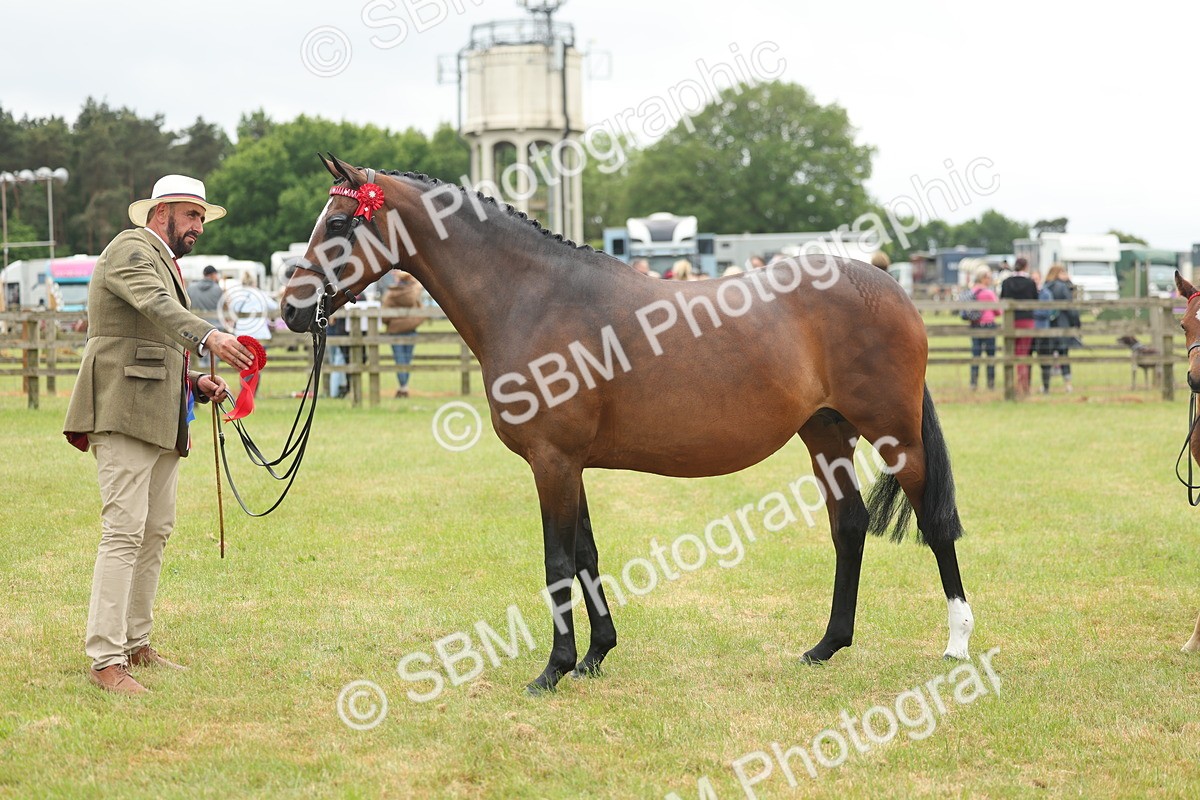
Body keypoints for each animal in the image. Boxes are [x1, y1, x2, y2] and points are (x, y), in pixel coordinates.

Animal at [280, 155, 975, 694]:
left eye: (338, 223)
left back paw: (957, 643)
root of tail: (891, 286)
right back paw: (826, 646)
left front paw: (552, 669)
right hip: (826, 434)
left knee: (935, 525)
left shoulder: (552, 461)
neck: (534, 299)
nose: (289, 309)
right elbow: (587, 552)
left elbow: (557, 558)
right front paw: (595, 655)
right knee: (849, 526)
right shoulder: (569, 462)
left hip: (896, 437)